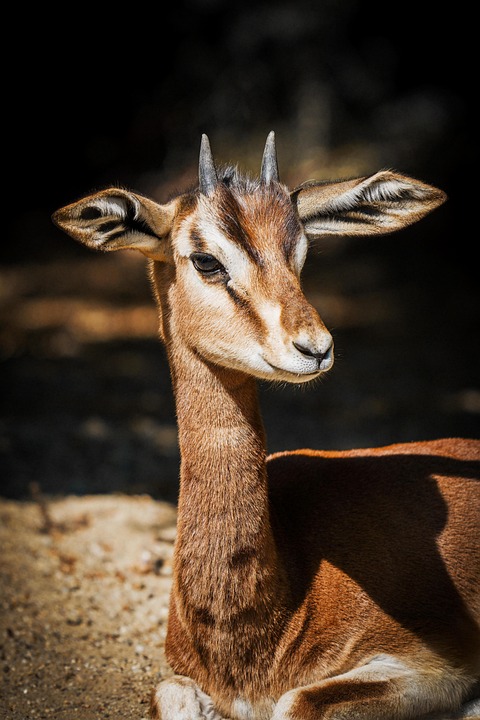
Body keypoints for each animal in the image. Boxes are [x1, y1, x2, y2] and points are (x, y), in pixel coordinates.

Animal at [52, 133, 480, 720]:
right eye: (205, 260)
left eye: (300, 255)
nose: (315, 348)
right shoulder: (184, 680)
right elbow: (167, 693)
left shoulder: (434, 669)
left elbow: (296, 702)